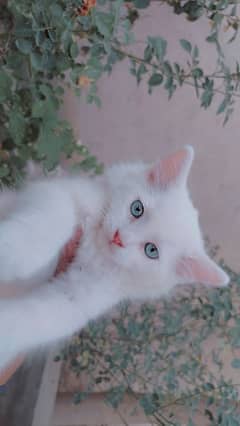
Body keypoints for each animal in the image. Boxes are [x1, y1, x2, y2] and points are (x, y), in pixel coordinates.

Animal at [0, 145, 230, 368]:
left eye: (151, 250)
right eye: (137, 208)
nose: (119, 238)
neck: (95, 248)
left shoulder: (75, 299)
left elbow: (33, 318)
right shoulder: (60, 192)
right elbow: (52, 221)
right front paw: (11, 253)